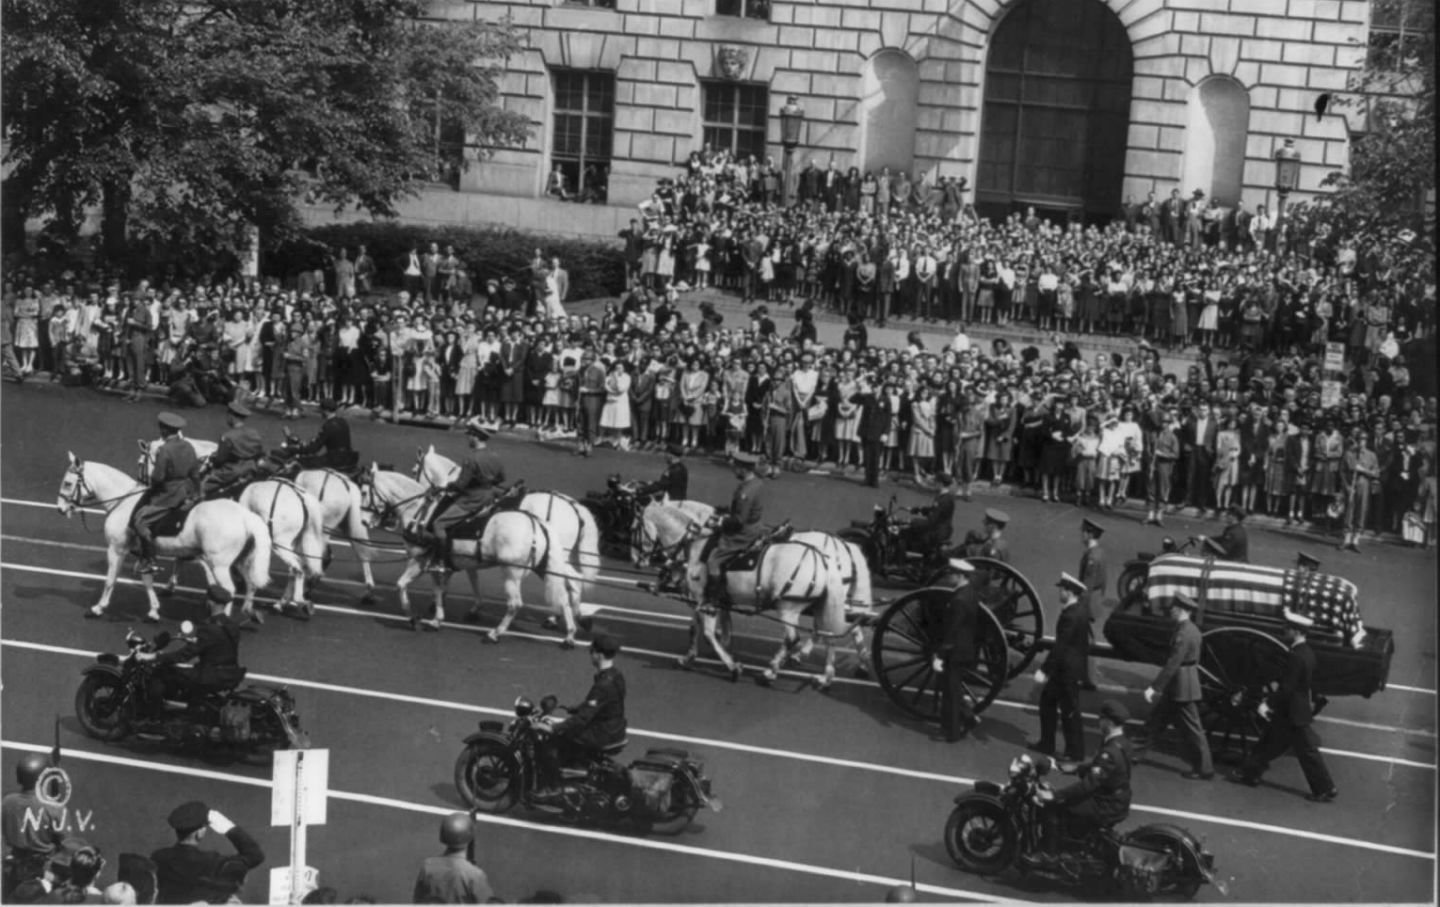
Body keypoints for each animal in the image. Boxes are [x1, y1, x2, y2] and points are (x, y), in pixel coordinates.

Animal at [56, 454, 272, 624]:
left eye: (67, 483)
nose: (60, 509)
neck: (124, 501)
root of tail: (244, 515)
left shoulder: (116, 550)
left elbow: (110, 579)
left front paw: (98, 608)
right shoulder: (143, 555)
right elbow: (147, 580)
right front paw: (153, 611)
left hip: (219, 564)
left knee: (229, 589)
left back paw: (221, 618)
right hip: (242, 560)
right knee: (251, 583)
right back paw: (248, 612)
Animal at [140, 437, 383, 604]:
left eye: (144, 460)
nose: (149, 483)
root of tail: (344, 482)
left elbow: (182, 556)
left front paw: (171, 585)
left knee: (317, 560)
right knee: (359, 555)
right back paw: (365, 591)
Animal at [362, 466, 581, 642]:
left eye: (364, 492)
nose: (364, 521)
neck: (419, 512)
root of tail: (537, 522)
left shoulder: (419, 560)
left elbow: (402, 585)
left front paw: (413, 618)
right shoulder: (440, 564)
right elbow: (439, 589)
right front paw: (437, 619)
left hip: (511, 574)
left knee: (515, 604)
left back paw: (495, 633)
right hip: (544, 569)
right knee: (563, 596)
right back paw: (569, 634)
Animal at [414, 443, 599, 636]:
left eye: (415, 471)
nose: (426, 495)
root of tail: (574, 506)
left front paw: (439, 602)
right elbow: (470, 575)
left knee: (570, 580)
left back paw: (562, 618)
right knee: (570, 581)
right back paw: (572, 618)